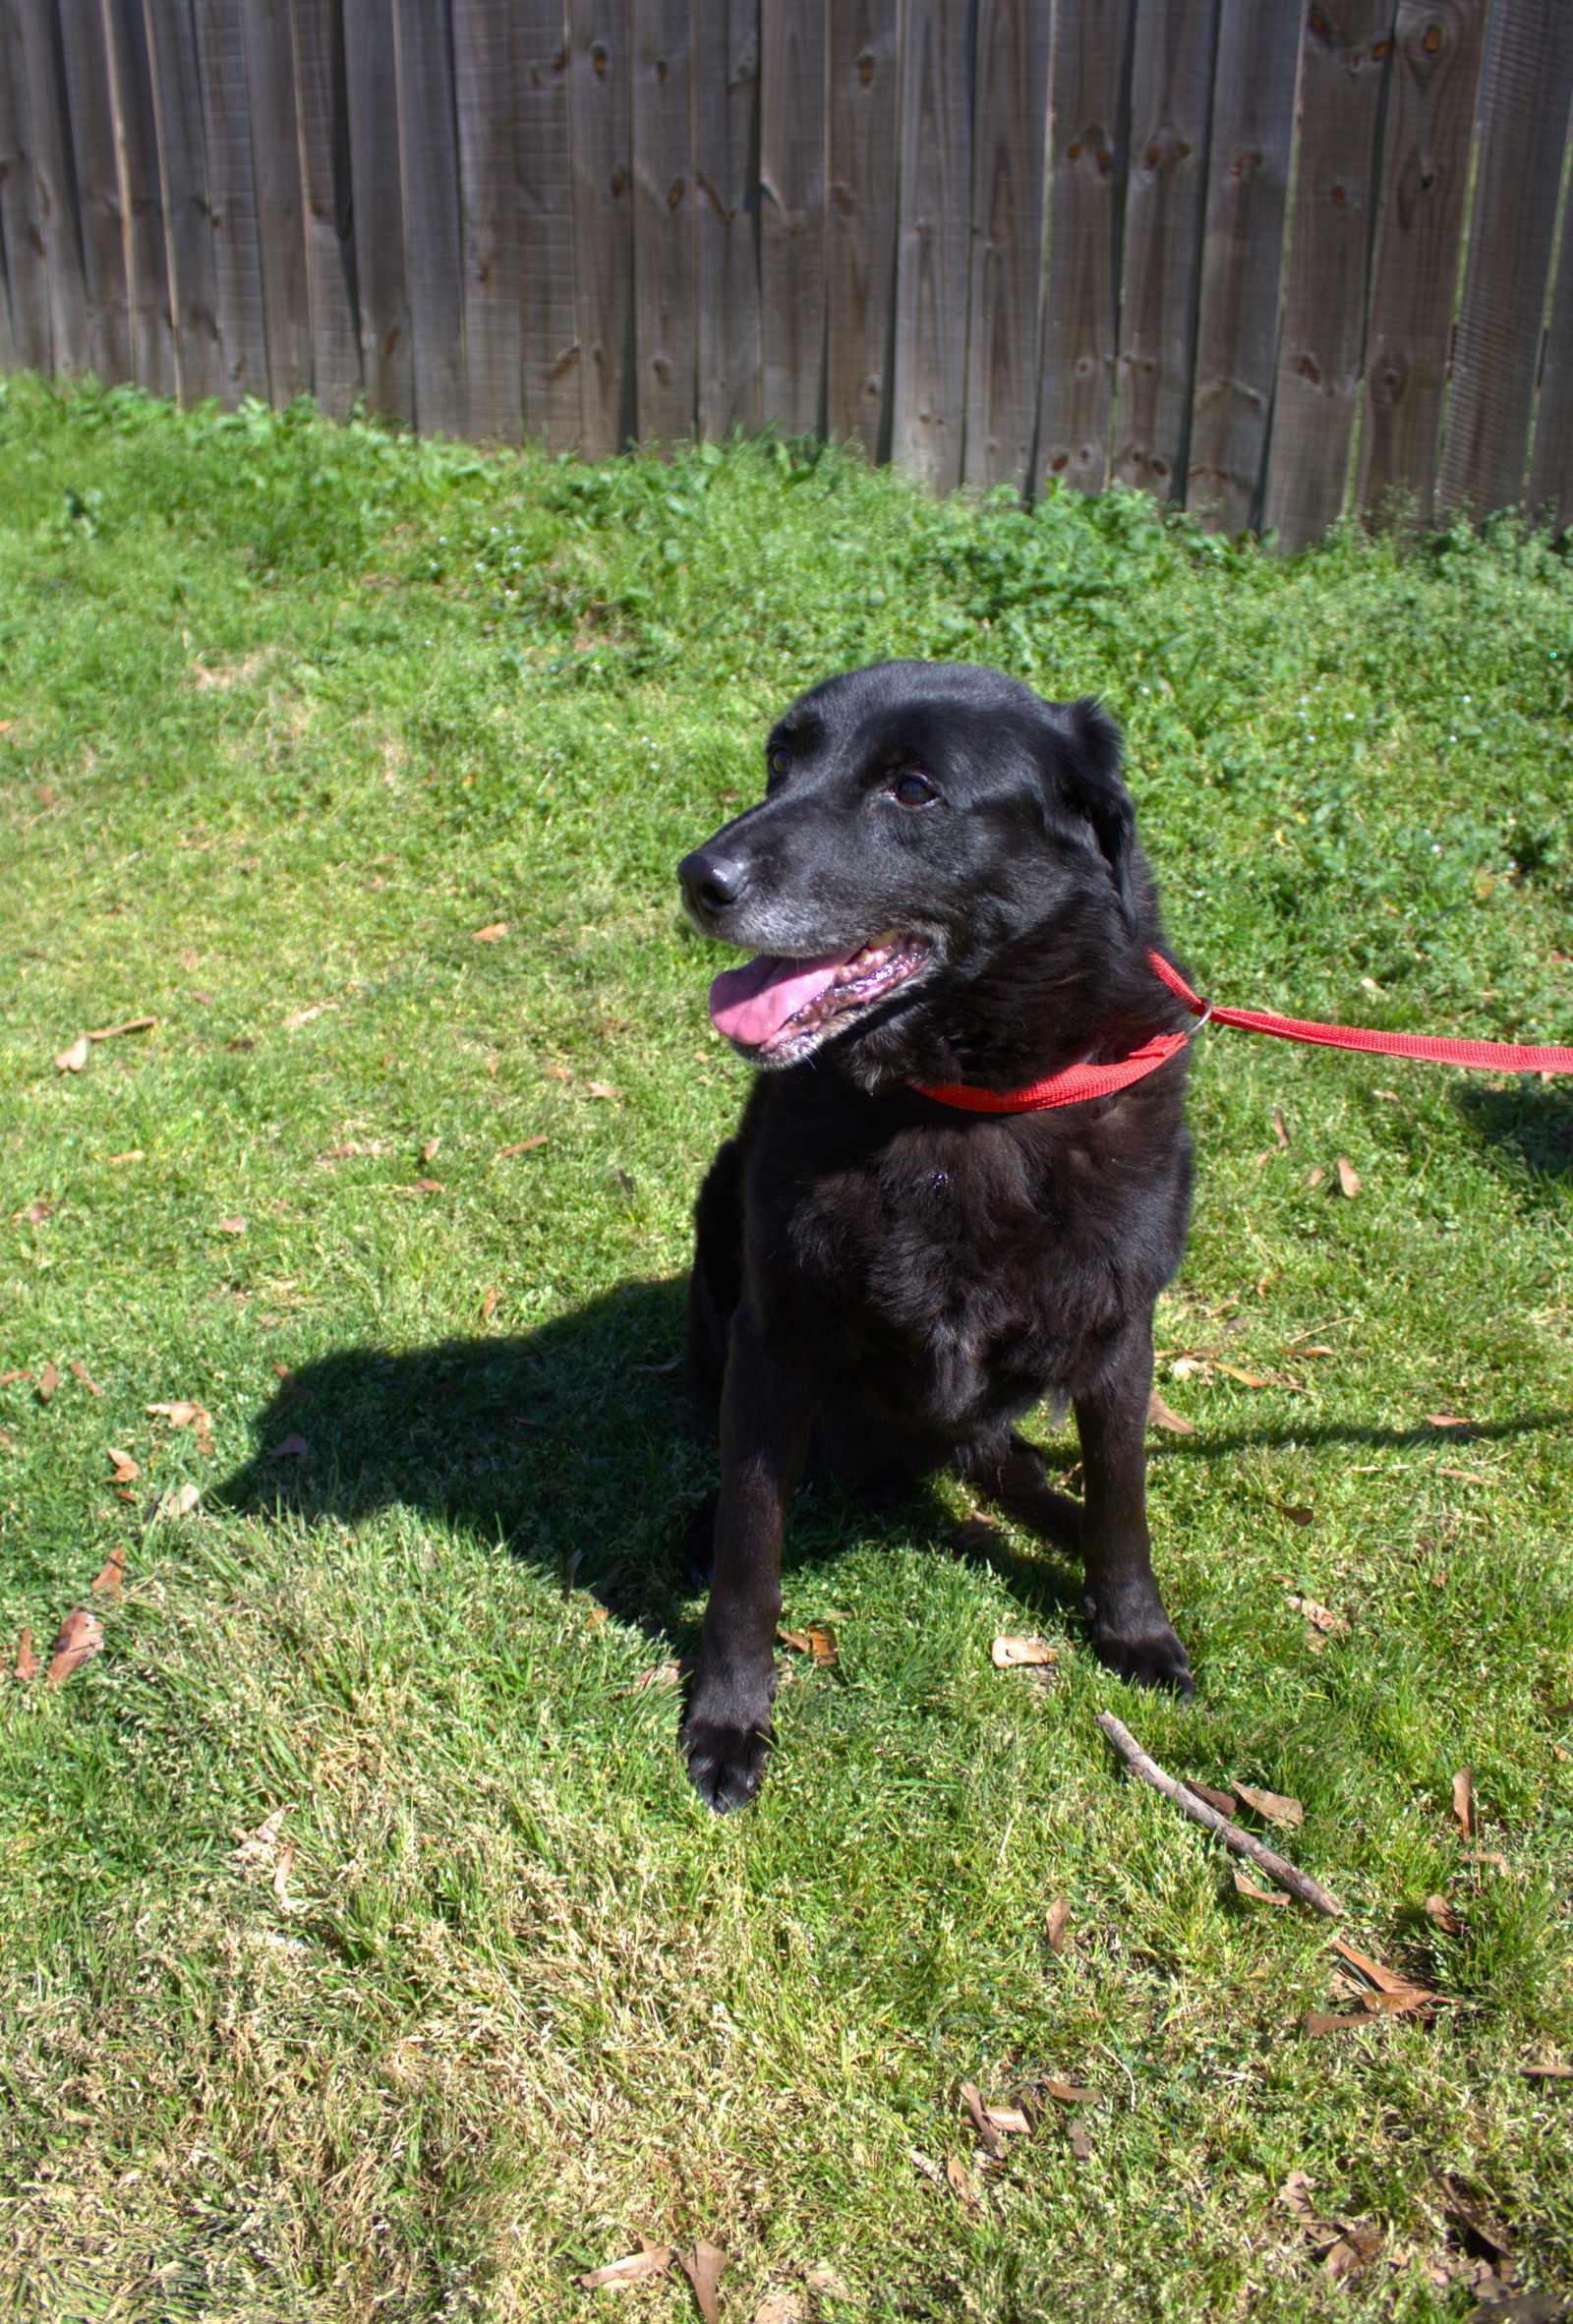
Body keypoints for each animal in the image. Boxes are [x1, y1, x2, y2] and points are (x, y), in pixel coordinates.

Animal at [673, 665, 1190, 1803]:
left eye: (912, 791)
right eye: (782, 758)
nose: (697, 878)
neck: (954, 1110)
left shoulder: (1120, 1333)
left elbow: (1122, 1502)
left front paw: (1131, 1627)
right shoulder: (775, 1343)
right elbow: (750, 1551)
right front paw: (729, 1715)